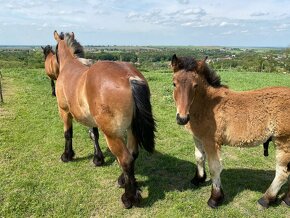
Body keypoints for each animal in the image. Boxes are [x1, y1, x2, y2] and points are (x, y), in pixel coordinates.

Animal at [53, 30, 155, 208]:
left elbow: (68, 134)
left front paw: (67, 155)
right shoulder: (91, 120)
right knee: (133, 154)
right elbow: (93, 135)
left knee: (126, 159)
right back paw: (123, 181)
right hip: (131, 129)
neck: (69, 65)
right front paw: (98, 159)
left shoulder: (64, 112)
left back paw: (129, 197)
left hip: (113, 134)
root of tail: (130, 78)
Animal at [171, 54, 290, 208]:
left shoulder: (211, 141)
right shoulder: (197, 137)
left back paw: (266, 199)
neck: (208, 104)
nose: (182, 118)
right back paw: (286, 199)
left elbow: (215, 167)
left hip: (284, 141)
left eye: (195, 85)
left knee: (282, 173)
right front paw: (198, 179)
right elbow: (199, 157)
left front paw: (215, 198)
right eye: (174, 84)